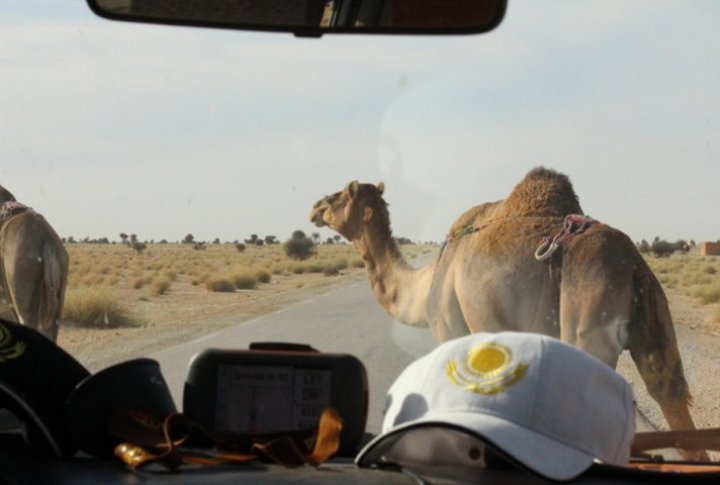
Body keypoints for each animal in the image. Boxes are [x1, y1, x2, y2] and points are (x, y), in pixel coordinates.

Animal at [308, 167, 704, 458]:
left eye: (340, 194)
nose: (314, 207)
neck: (424, 287)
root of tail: (634, 263)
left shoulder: (451, 330)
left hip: (588, 316)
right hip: (654, 320)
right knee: (668, 390)